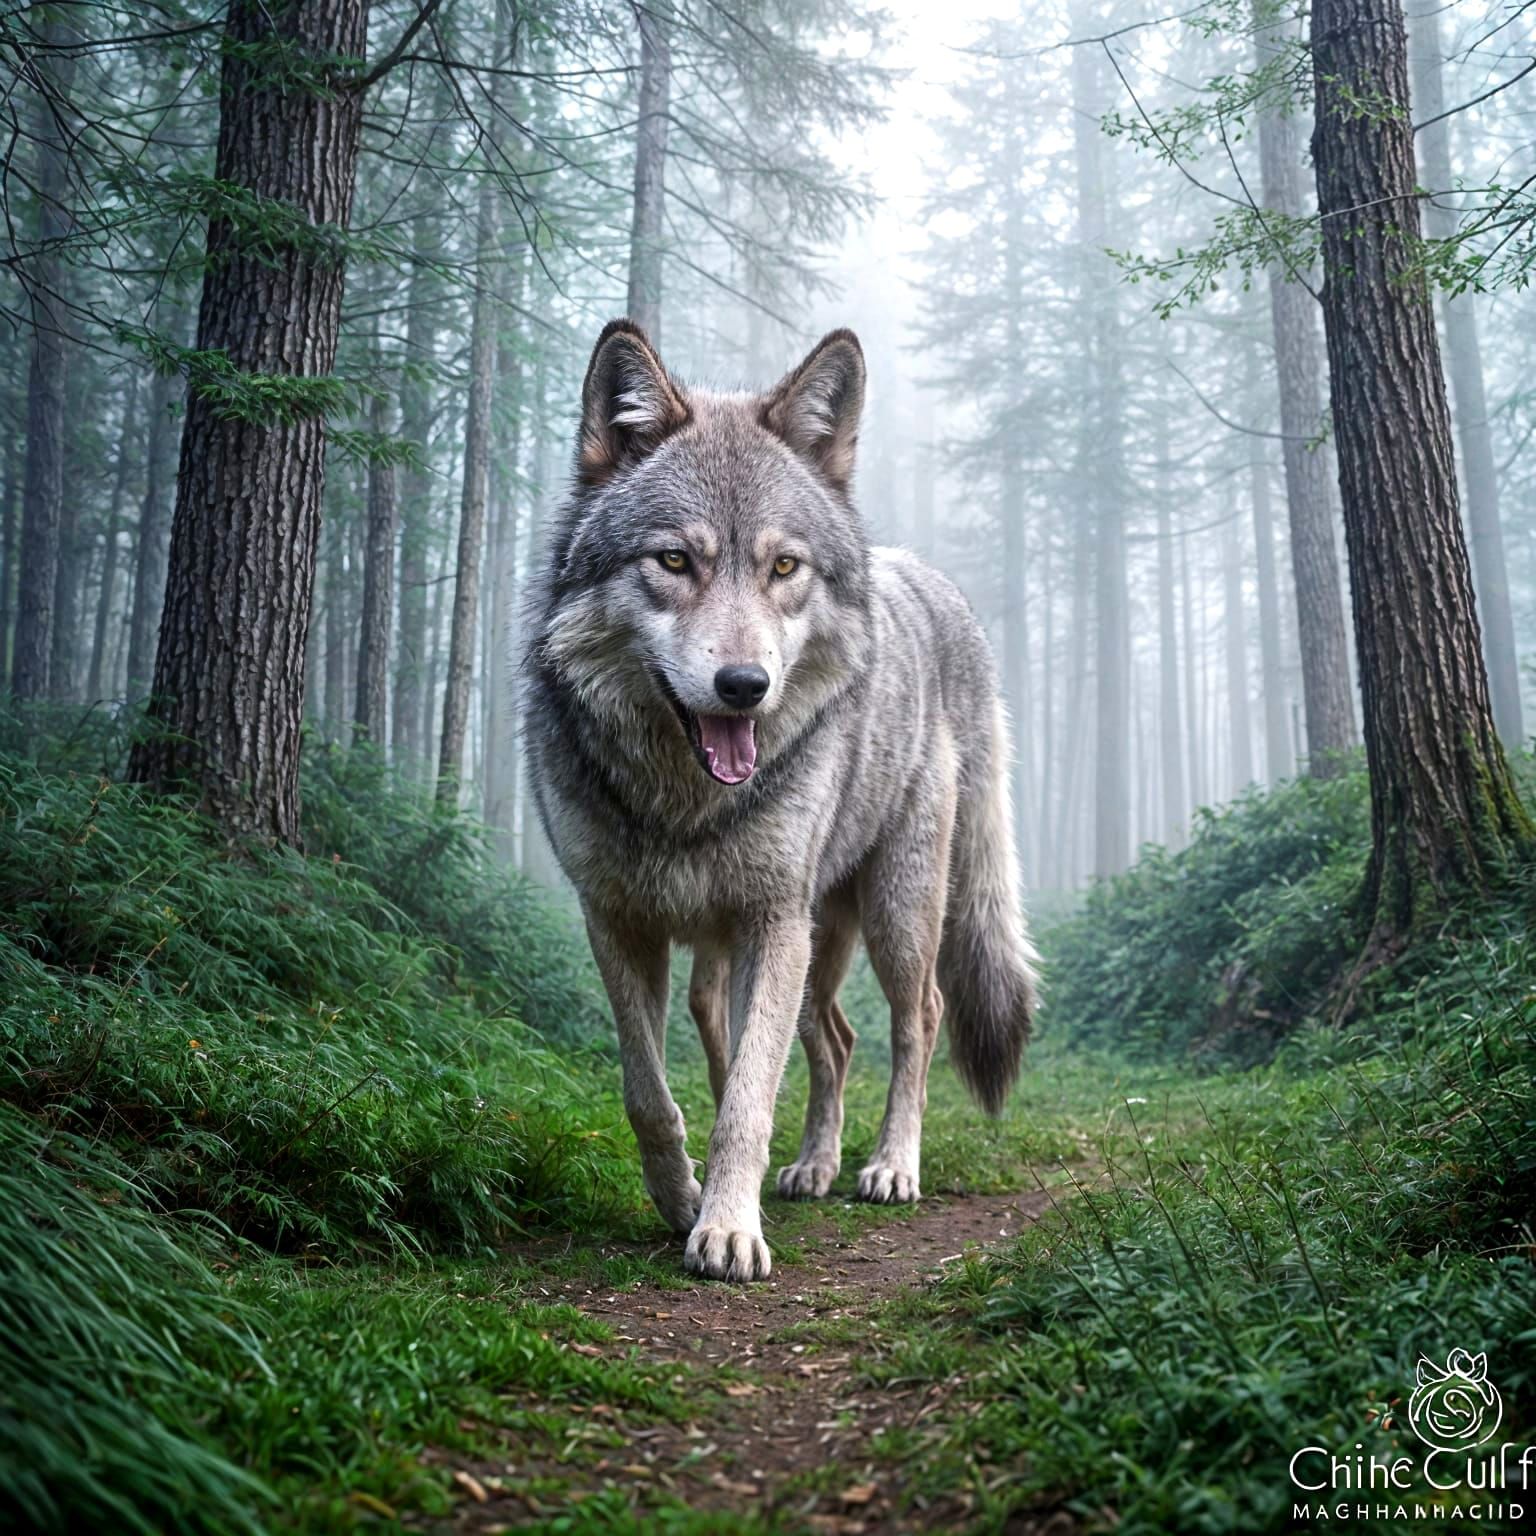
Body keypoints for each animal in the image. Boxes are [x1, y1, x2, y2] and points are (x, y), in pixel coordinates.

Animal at [523, 320, 1038, 1281]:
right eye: (675, 561)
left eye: (784, 566)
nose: (744, 686)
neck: (684, 804)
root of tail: (937, 590)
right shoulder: (618, 921)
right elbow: (652, 1092)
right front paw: (681, 1198)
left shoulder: (769, 921)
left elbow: (746, 1101)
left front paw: (727, 1228)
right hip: (805, 941)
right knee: (834, 1040)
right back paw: (814, 1168)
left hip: (892, 915)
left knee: (918, 1021)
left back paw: (888, 1168)